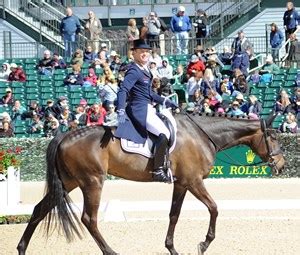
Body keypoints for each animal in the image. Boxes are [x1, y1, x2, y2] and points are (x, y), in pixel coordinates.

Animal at [17, 112, 284, 254]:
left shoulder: (182, 183)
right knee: (88, 219)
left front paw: (172, 248)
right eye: (272, 136)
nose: (281, 166)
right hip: (92, 182)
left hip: (69, 181)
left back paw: (21, 248)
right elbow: (214, 208)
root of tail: (64, 135)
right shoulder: (194, 181)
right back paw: (111, 251)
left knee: (39, 209)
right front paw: (203, 243)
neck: (203, 135)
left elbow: (174, 214)